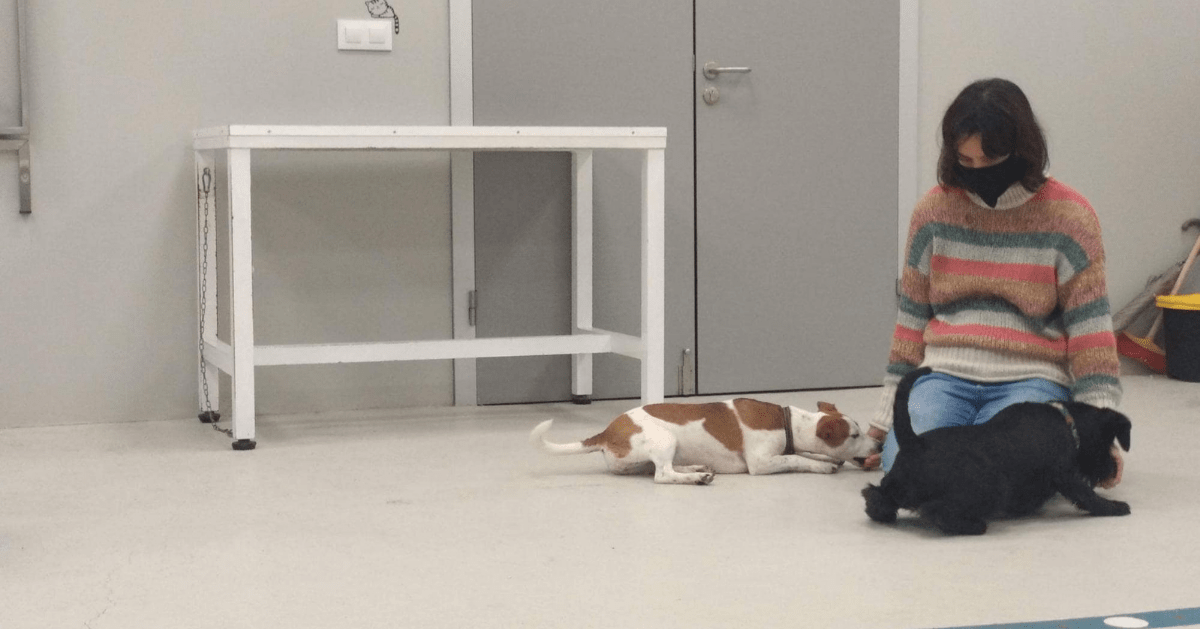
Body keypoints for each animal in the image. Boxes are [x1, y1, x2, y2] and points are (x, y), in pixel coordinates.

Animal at [859, 364, 1128, 532]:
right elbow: (1087, 496)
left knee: (875, 493)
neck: (1068, 422)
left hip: (897, 485)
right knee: (939, 512)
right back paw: (973, 525)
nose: (1112, 471)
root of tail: (915, 442)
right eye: (1107, 444)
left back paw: (881, 512)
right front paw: (1114, 507)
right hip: (991, 487)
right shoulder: (1066, 475)